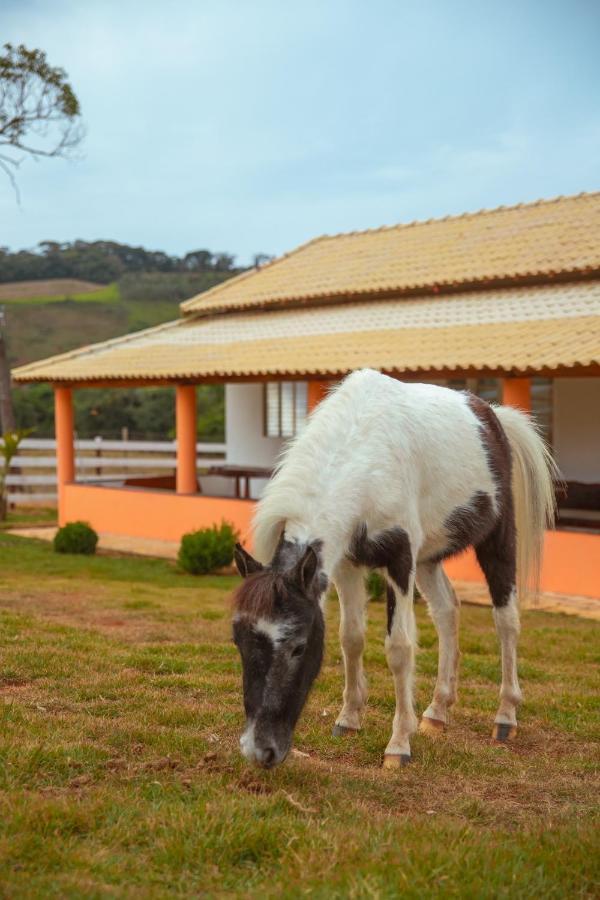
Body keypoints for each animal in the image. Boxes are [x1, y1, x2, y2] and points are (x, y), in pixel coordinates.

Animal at [231, 370, 556, 768]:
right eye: (239, 642)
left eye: (298, 646)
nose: (260, 750)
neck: (367, 455)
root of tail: (493, 416)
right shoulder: (346, 565)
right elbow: (351, 638)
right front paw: (349, 718)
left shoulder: (400, 560)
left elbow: (399, 648)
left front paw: (399, 744)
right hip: (429, 558)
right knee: (447, 611)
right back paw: (437, 711)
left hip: (496, 540)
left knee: (506, 620)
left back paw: (505, 716)